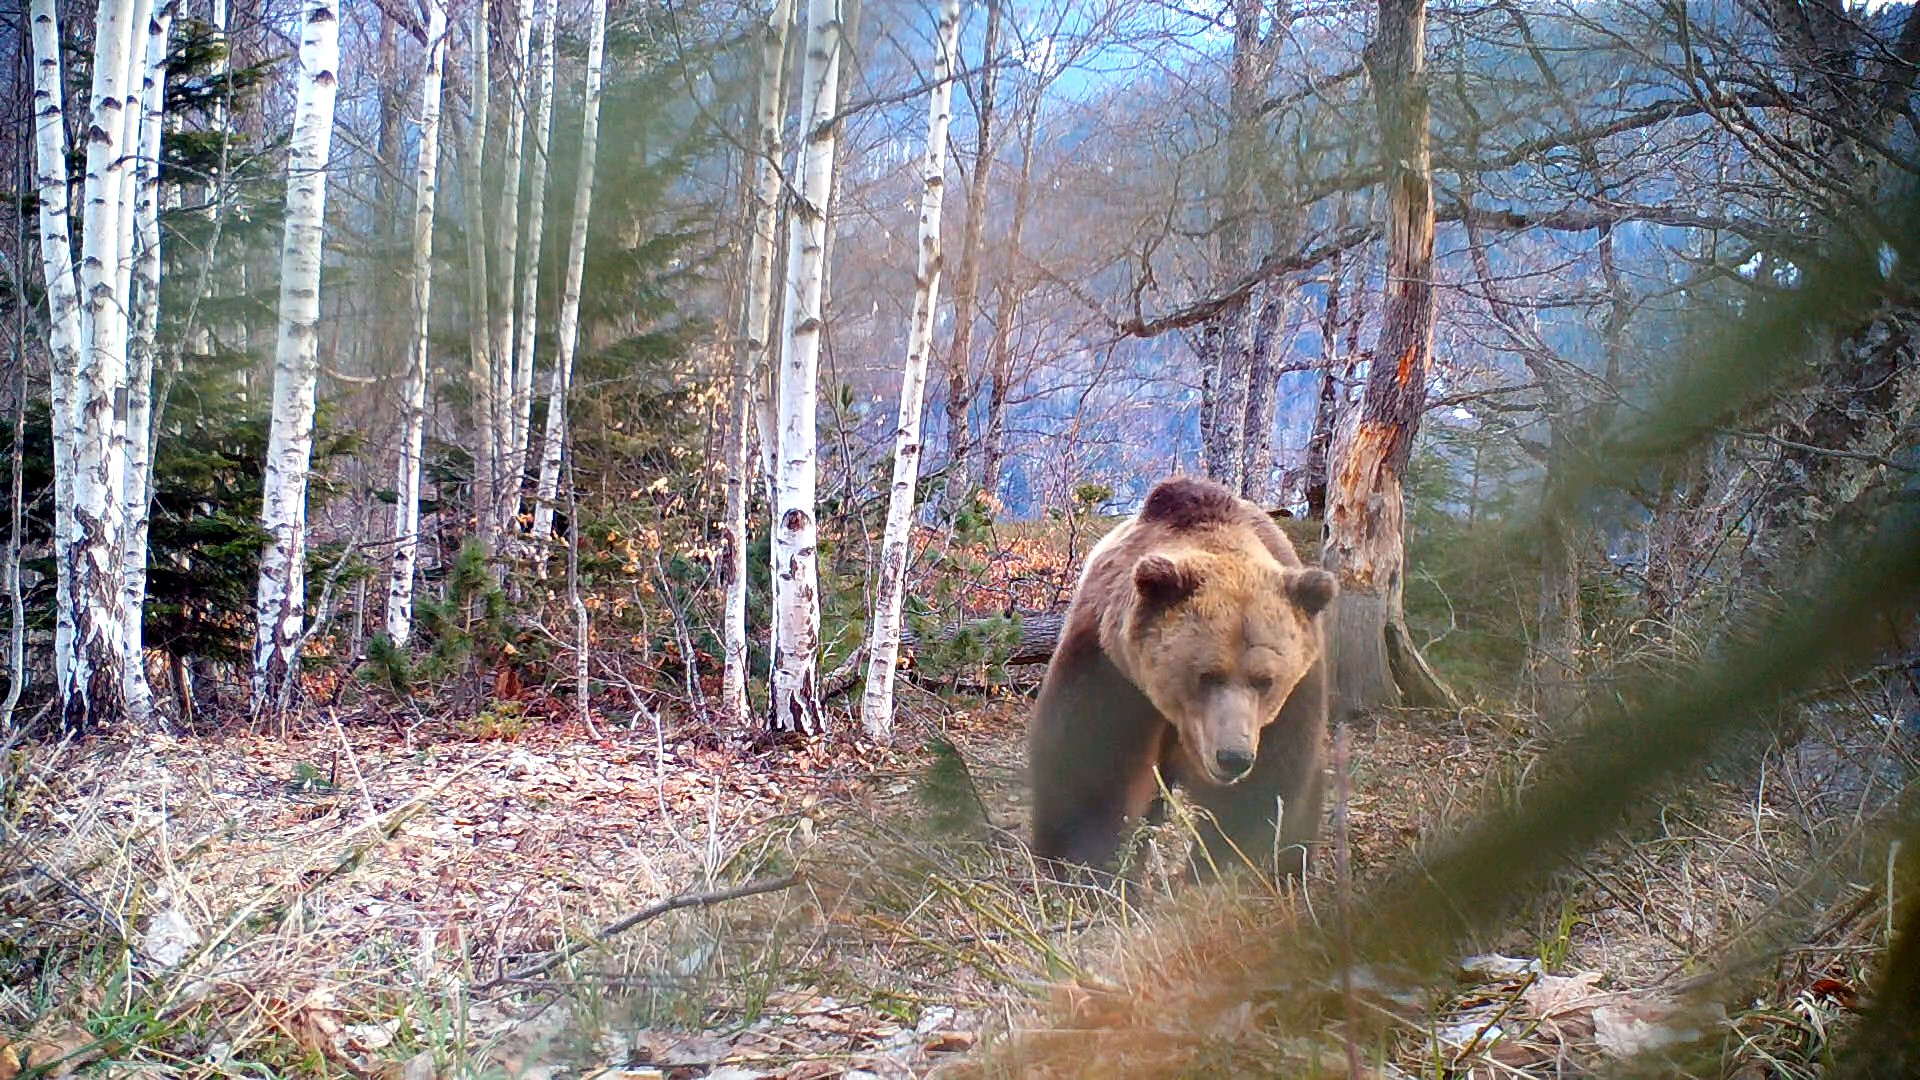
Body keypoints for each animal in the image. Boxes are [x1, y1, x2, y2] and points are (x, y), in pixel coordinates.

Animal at [1027, 475, 1336, 880]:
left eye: (1265, 680)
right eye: (1207, 675)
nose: (1233, 756)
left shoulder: (1290, 703)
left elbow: (1263, 793)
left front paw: (1217, 870)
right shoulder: (1112, 674)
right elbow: (1090, 772)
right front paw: (1085, 865)